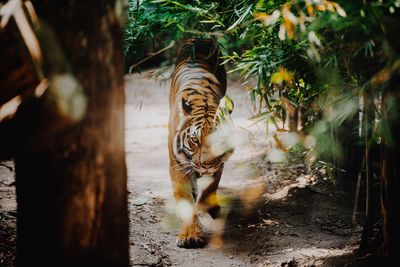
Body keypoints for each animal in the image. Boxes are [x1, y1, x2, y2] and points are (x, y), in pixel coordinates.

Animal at [167, 38, 233, 250]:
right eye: (194, 140)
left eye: (218, 139)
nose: (206, 165)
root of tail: (200, 37)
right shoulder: (178, 166)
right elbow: (186, 203)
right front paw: (190, 236)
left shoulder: (219, 164)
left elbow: (210, 188)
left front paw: (208, 206)